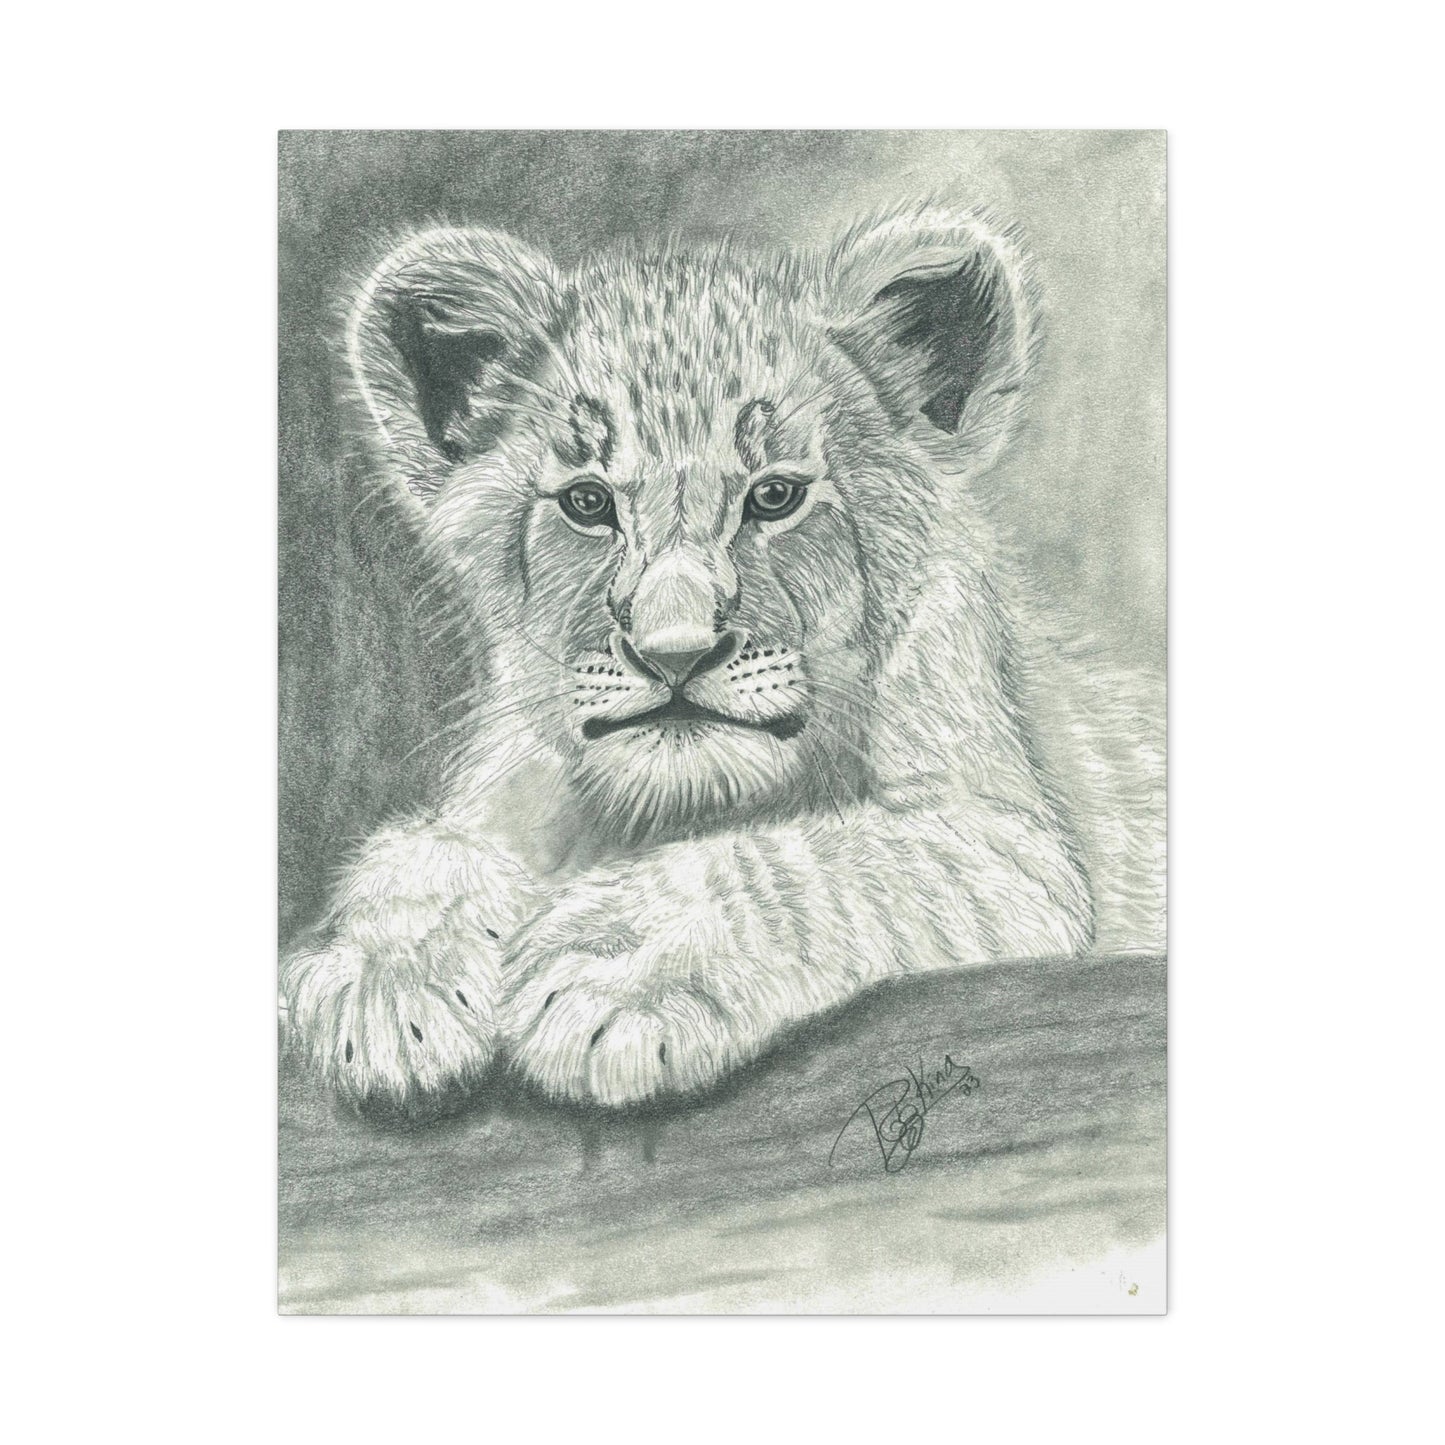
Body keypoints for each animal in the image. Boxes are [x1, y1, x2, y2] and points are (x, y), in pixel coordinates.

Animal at [280, 202, 1165, 1109]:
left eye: (774, 496)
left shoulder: (1012, 856)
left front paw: (616, 964)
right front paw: (387, 981)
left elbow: (811, 862)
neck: (679, 806)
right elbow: (423, 856)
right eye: (587, 503)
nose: (675, 655)